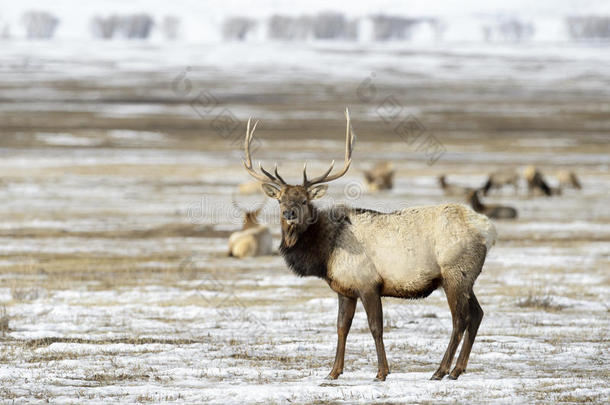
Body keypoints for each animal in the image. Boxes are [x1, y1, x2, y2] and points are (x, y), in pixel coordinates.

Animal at [240, 108, 496, 378]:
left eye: (304, 200)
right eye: (280, 199)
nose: (289, 213)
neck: (326, 253)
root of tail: (489, 230)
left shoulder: (368, 283)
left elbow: (375, 327)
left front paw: (382, 372)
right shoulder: (345, 288)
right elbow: (342, 327)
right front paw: (334, 371)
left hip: (454, 273)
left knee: (460, 319)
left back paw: (441, 370)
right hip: (466, 277)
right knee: (477, 314)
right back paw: (458, 369)